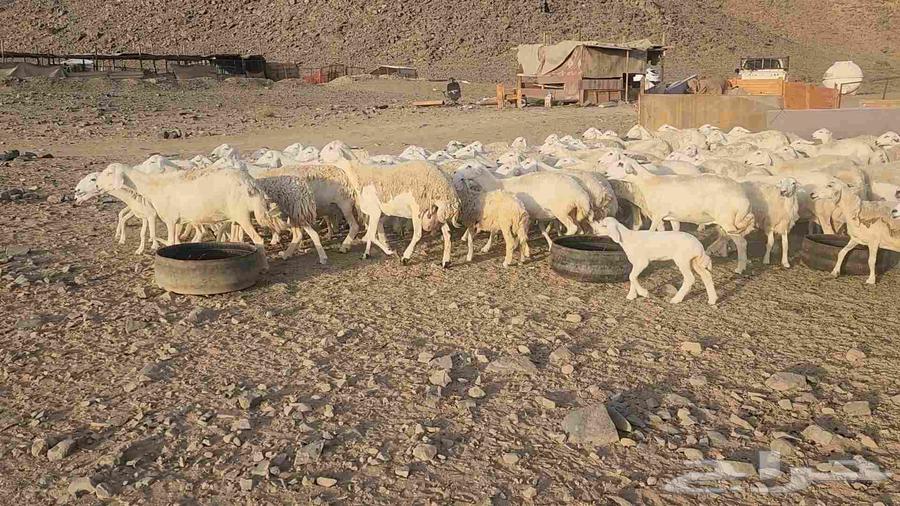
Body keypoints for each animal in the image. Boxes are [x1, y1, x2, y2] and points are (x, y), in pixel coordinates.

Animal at [321, 141, 460, 267]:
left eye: (331, 147)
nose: (320, 156)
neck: (359, 174)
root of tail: (446, 187)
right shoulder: (378, 214)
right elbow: (375, 234)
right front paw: (367, 253)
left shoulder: (375, 211)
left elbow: (372, 235)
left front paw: (389, 251)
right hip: (437, 211)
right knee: (447, 234)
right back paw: (446, 261)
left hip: (419, 208)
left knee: (418, 234)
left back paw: (405, 257)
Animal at [607, 159, 756, 273]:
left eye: (620, 163)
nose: (606, 172)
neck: (649, 183)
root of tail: (744, 198)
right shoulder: (672, 217)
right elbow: (674, 231)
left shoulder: (657, 214)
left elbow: (652, 231)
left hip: (727, 219)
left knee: (742, 243)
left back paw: (740, 268)